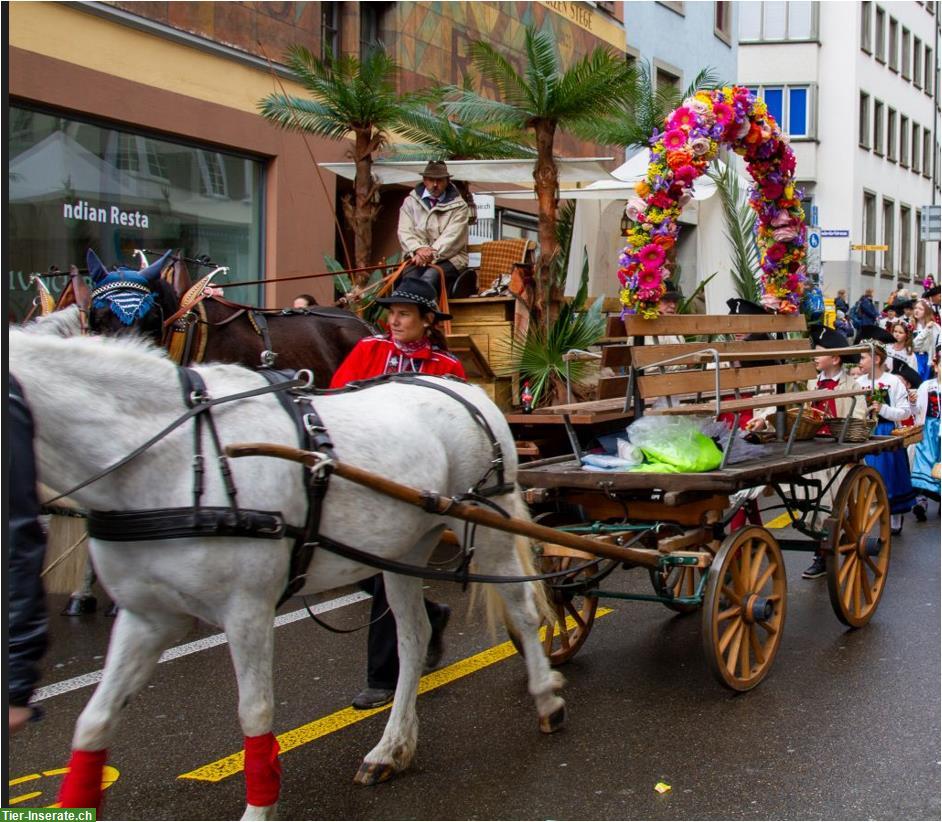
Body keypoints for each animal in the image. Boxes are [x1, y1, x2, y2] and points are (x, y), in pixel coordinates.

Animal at [9, 330, 568, 822]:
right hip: (403, 547)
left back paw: (546, 695)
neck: (178, 456)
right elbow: (94, 722)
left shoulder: (247, 611)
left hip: (489, 527)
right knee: (413, 637)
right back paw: (390, 747)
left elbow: (255, 713)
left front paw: (259, 808)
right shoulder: (149, 616)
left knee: (522, 611)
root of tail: (464, 387)